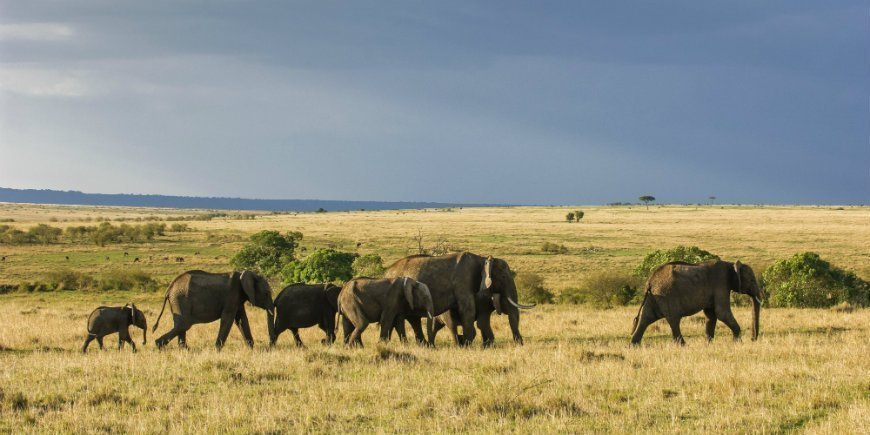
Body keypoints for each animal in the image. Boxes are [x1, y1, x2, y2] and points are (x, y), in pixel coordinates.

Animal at [386, 252, 536, 348]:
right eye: (504, 277)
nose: (520, 344)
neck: (482, 258)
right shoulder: (463, 282)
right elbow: (468, 310)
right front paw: (467, 345)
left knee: (413, 320)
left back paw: (425, 346)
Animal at [632, 260, 764, 346]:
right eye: (752, 280)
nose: (753, 339)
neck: (731, 265)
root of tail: (650, 282)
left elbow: (711, 315)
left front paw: (709, 344)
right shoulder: (721, 284)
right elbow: (722, 313)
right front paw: (738, 343)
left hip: (654, 296)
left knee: (646, 318)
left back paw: (634, 346)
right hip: (667, 295)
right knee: (673, 319)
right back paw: (683, 346)